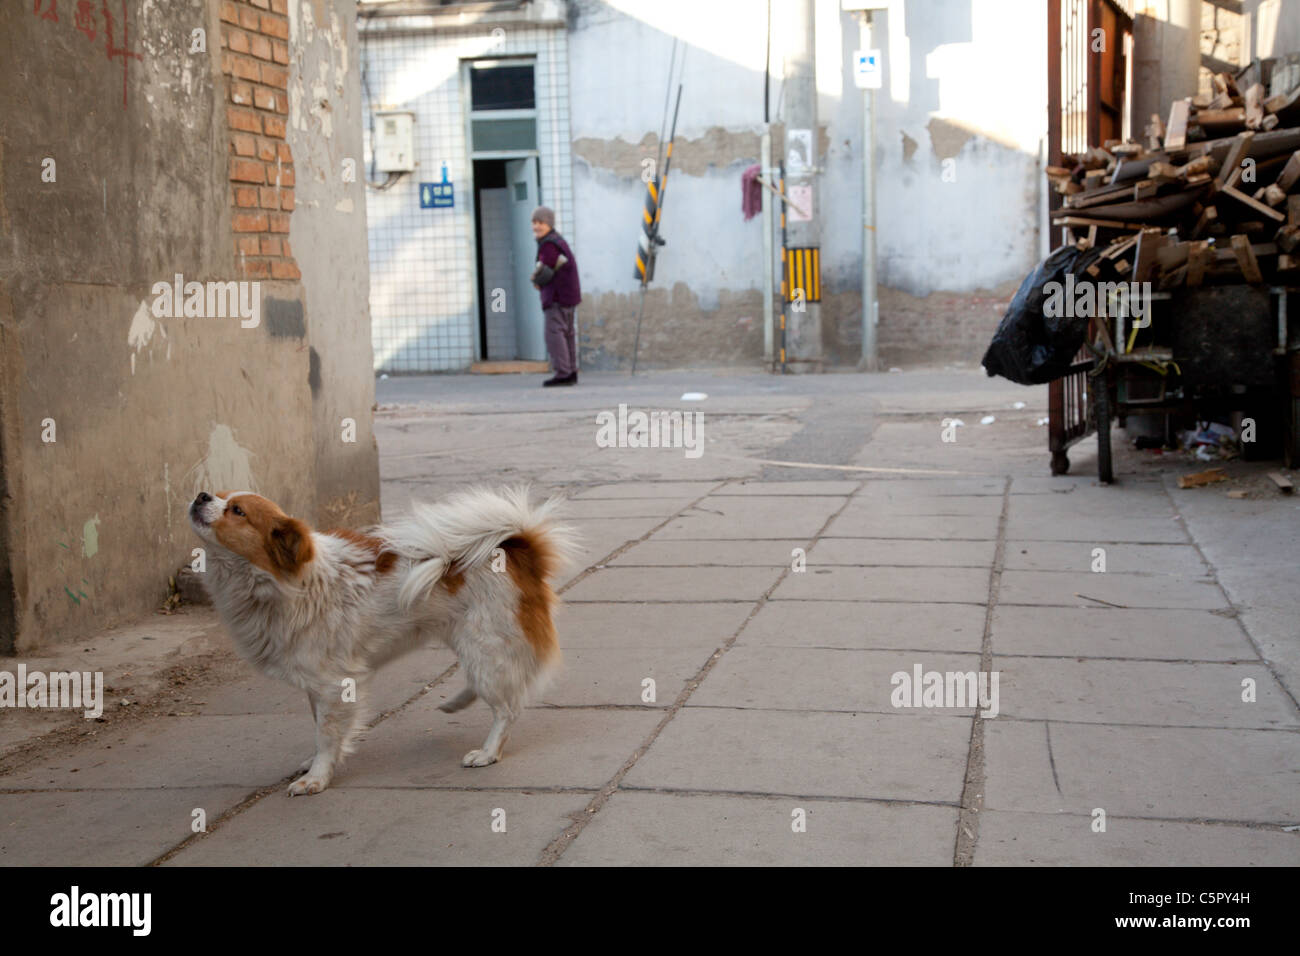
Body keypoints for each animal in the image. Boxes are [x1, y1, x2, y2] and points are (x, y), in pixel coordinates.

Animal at [188, 486, 574, 790]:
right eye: (219, 494)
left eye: (237, 511)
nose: (201, 495)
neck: (281, 582)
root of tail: (518, 548)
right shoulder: (315, 683)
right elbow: (319, 727)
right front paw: (317, 762)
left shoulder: (332, 683)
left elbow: (327, 733)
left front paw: (317, 777)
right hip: (470, 642)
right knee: (486, 686)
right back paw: (455, 703)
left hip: (485, 645)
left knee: (507, 708)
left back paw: (489, 752)